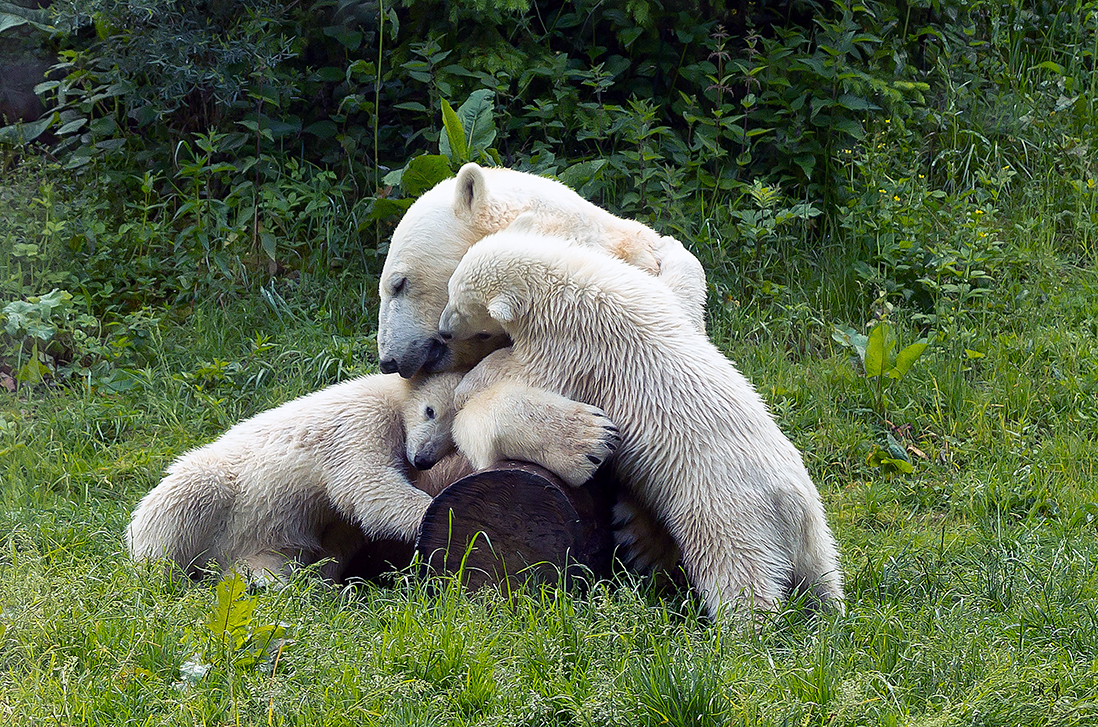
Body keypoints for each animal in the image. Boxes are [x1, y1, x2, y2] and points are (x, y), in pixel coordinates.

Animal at [126, 373, 469, 584]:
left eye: (453, 438)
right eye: (430, 411)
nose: (422, 458)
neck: (388, 394)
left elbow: (343, 530)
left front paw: (325, 583)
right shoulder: (359, 420)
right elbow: (367, 483)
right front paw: (444, 516)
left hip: (263, 541)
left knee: (270, 560)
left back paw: (264, 581)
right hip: (217, 491)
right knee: (190, 495)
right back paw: (163, 576)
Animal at [441, 235, 843, 619]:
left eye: (460, 305)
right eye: (449, 290)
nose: (443, 330)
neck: (578, 282)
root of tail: (791, 505)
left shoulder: (575, 348)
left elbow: (523, 371)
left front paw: (469, 385)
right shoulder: (652, 296)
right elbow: (682, 293)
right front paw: (670, 247)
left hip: (729, 512)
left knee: (738, 573)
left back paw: (743, 629)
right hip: (813, 528)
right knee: (823, 572)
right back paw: (830, 611)